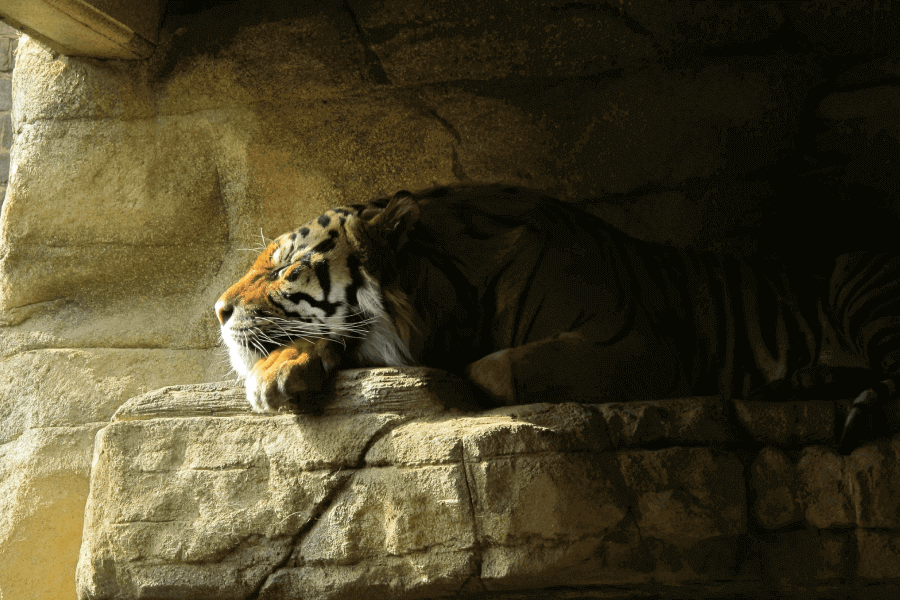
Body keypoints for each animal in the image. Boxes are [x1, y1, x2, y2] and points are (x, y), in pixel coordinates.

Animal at [215, 185, 900, 453]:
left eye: (285, 268)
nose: (218, 310)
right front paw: (278, 373)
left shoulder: (643, 342)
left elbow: (493, 370)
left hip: (859, 284)